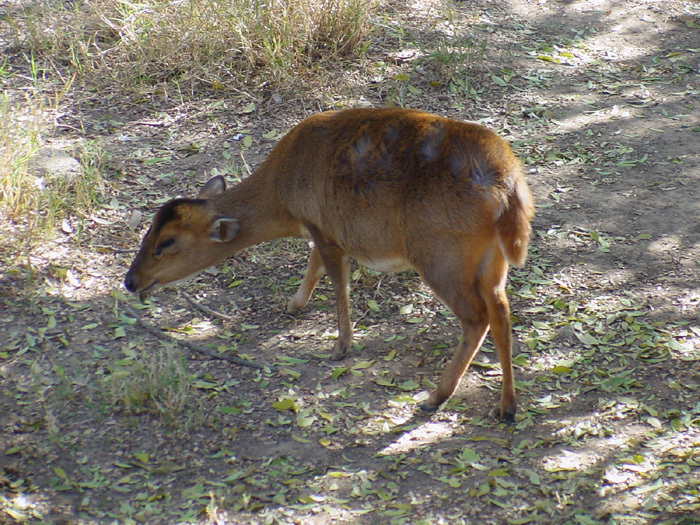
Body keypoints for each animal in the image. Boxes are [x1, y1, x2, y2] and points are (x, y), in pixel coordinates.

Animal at [123, 107, 532, 422]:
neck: (282, 196)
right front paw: (294, 304)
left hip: (440, 253)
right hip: (491, 260)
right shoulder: (320, 228)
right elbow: (314, 264)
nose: (131, 281)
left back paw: (436, 397)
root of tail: (510, 190)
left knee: (476, 316)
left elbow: (335, 279)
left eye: (166, 243)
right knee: (501, 310)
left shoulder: (324, 227)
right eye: (148, 232)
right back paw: (507, 406)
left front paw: (341, 346)